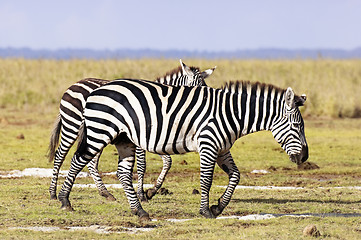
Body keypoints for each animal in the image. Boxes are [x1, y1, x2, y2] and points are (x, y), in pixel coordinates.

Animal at [48, 59, 217, 201]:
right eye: (198, 89)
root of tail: (74, 84)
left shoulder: (157, 138)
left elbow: (167, 161)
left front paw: (151, 191)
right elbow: (142, 166)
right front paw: (141, 194)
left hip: (96, 132)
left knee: (91, 162)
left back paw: (105, 193)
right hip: (73, 126)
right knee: (60, 155)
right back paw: (53, 193)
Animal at [57, 78, 308, 219]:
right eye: (297, 126)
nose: (305, 157)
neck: (231, 114)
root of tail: (95, 90)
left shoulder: (222, 148)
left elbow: (236, 176)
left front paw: (218, 207)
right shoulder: (208, 144)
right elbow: (206, 180)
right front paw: (206, 211)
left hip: (123, 138)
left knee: (123, 173)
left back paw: (139, 211)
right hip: (100, 131)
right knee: (78, 160)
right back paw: (64, 201)